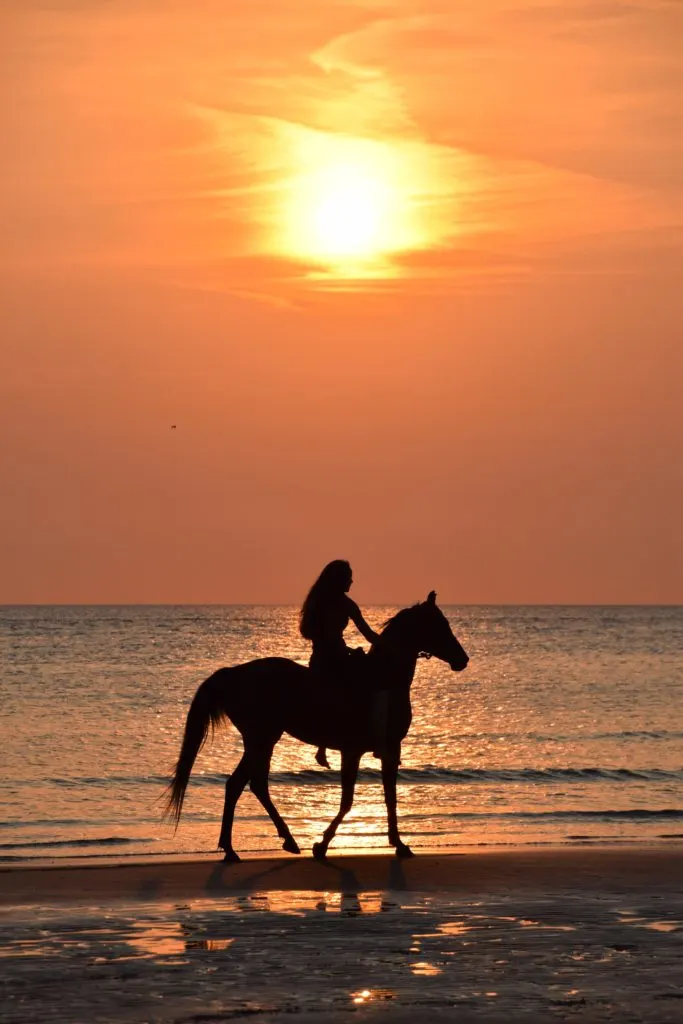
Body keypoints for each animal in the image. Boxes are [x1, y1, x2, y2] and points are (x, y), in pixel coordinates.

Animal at [163, 593, 471, 864]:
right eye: (439, 625)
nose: (463, 659)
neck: (383, 678)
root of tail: (233, 673)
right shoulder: (358, 751)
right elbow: (349, 800)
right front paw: (323, 844)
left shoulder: (386, 750)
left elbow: (390, 798)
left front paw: (398, 844)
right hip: (262, 738)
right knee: (247, 784)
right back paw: (260, 844)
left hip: (261, 740)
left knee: (244, 785)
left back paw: (252, 845)